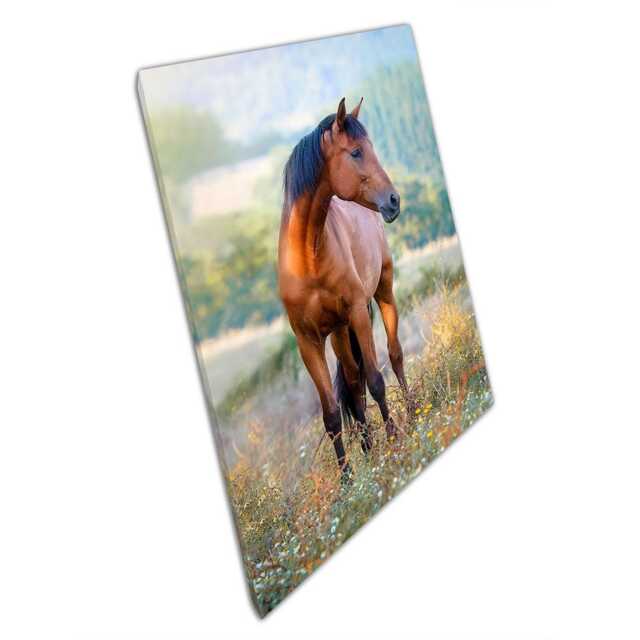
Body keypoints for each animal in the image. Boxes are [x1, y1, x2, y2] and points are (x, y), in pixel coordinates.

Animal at [278, 97, 408, 480]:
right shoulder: (308, 342)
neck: (308, 258)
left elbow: (376, 380)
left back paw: (412, 413)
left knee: (394, 357)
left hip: (382, 294)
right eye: (355, 152)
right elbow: (332, 414)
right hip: (337, 333)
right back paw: (368, 449)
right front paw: (348, 481)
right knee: (352, 382)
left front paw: (394, 443)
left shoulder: (357, 313)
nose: (394, 200)